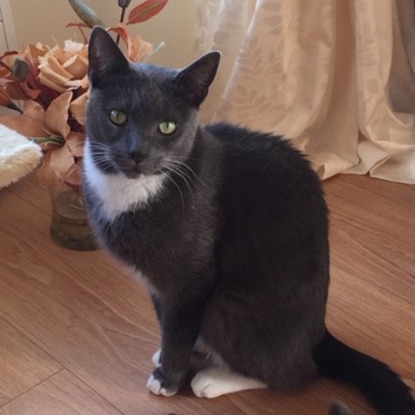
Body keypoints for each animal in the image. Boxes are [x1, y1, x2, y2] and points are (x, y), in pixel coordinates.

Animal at [83, 26, 414, 415]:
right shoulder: (158, 285)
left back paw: (216, 378)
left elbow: (179, 329)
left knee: (296, 373)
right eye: (117, 116)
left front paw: (169, 378)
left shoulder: (191, 278)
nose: (137, 153)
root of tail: (318, 335)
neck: (130, 191)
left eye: (167, 127)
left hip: (229, 304)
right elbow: (170, 323)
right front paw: (170, 357)